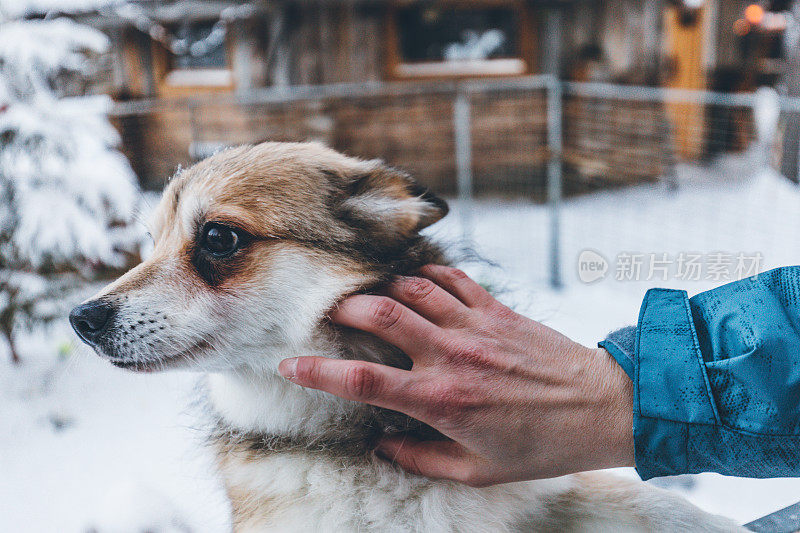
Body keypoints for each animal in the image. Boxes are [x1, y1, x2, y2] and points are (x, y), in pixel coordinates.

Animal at [72, 142, 740, 532]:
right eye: (150, 243)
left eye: (217, 237)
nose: (82, 319)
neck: (362, 438)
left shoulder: (543, 486)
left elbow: (666, 506)